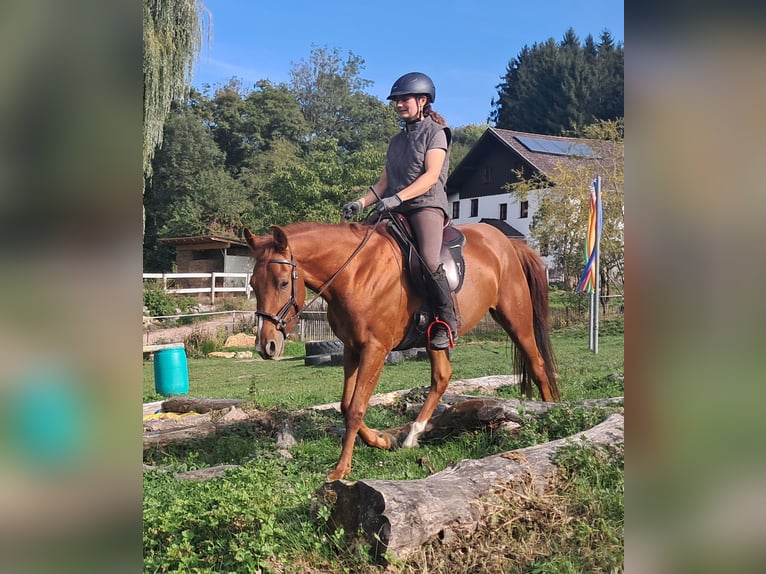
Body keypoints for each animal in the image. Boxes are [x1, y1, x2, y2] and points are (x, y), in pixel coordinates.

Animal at [244, 220, 559, 481]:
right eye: (253, 284)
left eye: (284, 282)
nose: (266, 345)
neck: (356, 273)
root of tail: (507, 243)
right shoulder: (351, 348)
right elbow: (346, 405)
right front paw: (383, 440)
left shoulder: (375, 349)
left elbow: (356, 408)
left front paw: (341, 469)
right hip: (436, 336)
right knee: (442, 377)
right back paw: (412, 436)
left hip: (515, 319)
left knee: (538, 366)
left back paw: (551, 413)